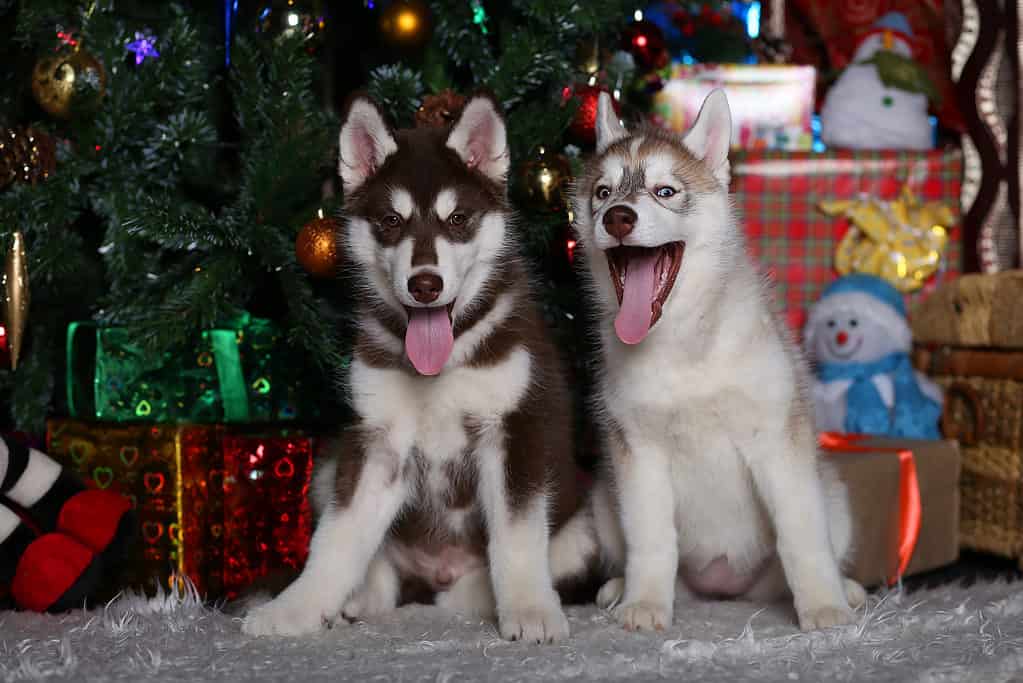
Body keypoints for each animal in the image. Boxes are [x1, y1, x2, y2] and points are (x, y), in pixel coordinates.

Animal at [242, 93, 597, 642]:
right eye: (391, 221)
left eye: (458, 219)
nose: (425, 284)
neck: (441, 369)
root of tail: (436, 571)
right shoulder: (377, 443)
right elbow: (337, 539)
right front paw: (296, 607)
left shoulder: (517, 430)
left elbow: (516, 536)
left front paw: (530, 610)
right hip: (329, 464)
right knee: (383, 572)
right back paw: (356, 599)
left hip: (588, 517)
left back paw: (476, 596)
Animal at [572, 87, 867, 633]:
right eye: (602, 193)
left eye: (665, 191)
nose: (617, 217)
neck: (683, 342)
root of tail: (723, 588)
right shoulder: (637, 450)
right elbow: (651, 539)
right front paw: (645, 601)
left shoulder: (777, 440)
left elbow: (801, 534)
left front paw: (823, 606)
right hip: (603, 499)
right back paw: (622, 588)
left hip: (832, 490)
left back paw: (848, 589)